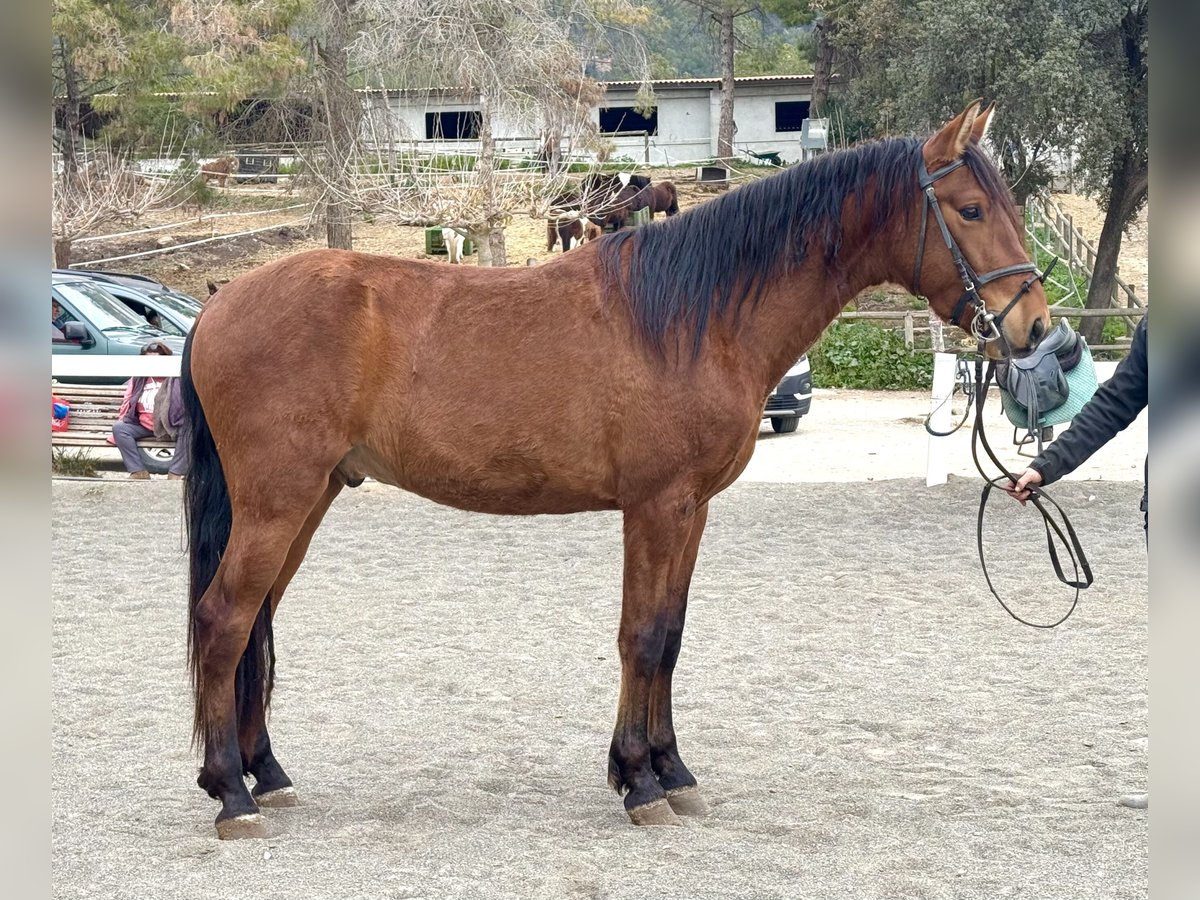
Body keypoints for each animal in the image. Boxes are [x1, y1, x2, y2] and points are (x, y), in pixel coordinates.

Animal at [180, 102, 1051, 844]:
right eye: (970, 210)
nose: (1036, 328)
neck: (698, 316)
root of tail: (217, 305)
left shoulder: (693, 510)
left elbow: (671, 636)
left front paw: (672, 771)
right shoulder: (655, 506)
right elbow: (642, 635)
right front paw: (639, 782)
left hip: (311, 497)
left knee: (256, 621)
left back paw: (266, 773)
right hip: (278, 500)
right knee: (224, 618)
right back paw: (230, 794)